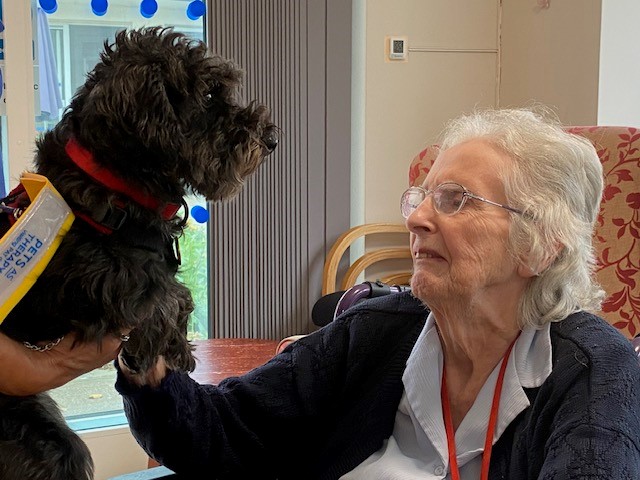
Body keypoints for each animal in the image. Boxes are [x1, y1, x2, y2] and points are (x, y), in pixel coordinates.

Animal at [0, 27, 276, 480]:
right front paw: (163, 342)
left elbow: (176, 293)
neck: (114, 182)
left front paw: (177, 345)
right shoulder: (85, 277)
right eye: (208, 95)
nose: (271, 138)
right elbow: (160, 293)